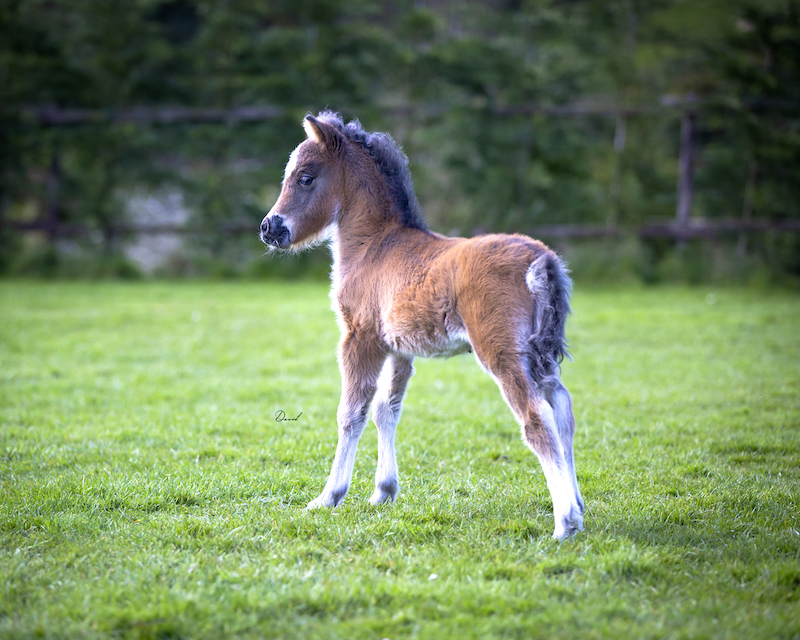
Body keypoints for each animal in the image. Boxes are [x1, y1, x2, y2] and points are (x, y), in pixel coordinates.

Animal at [260, 111, 584, 539]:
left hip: (501, 351)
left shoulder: (358, 337)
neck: (375, 247)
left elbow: (351, 413)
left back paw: (565, 522)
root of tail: (542, 260)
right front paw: (383, 491)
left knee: (537, 417)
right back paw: (579, 507)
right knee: (562, 409)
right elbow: (386, 409)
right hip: (540, 353)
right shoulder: (398, 348)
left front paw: (328, 497)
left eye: (306, 178)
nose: (269, 228)